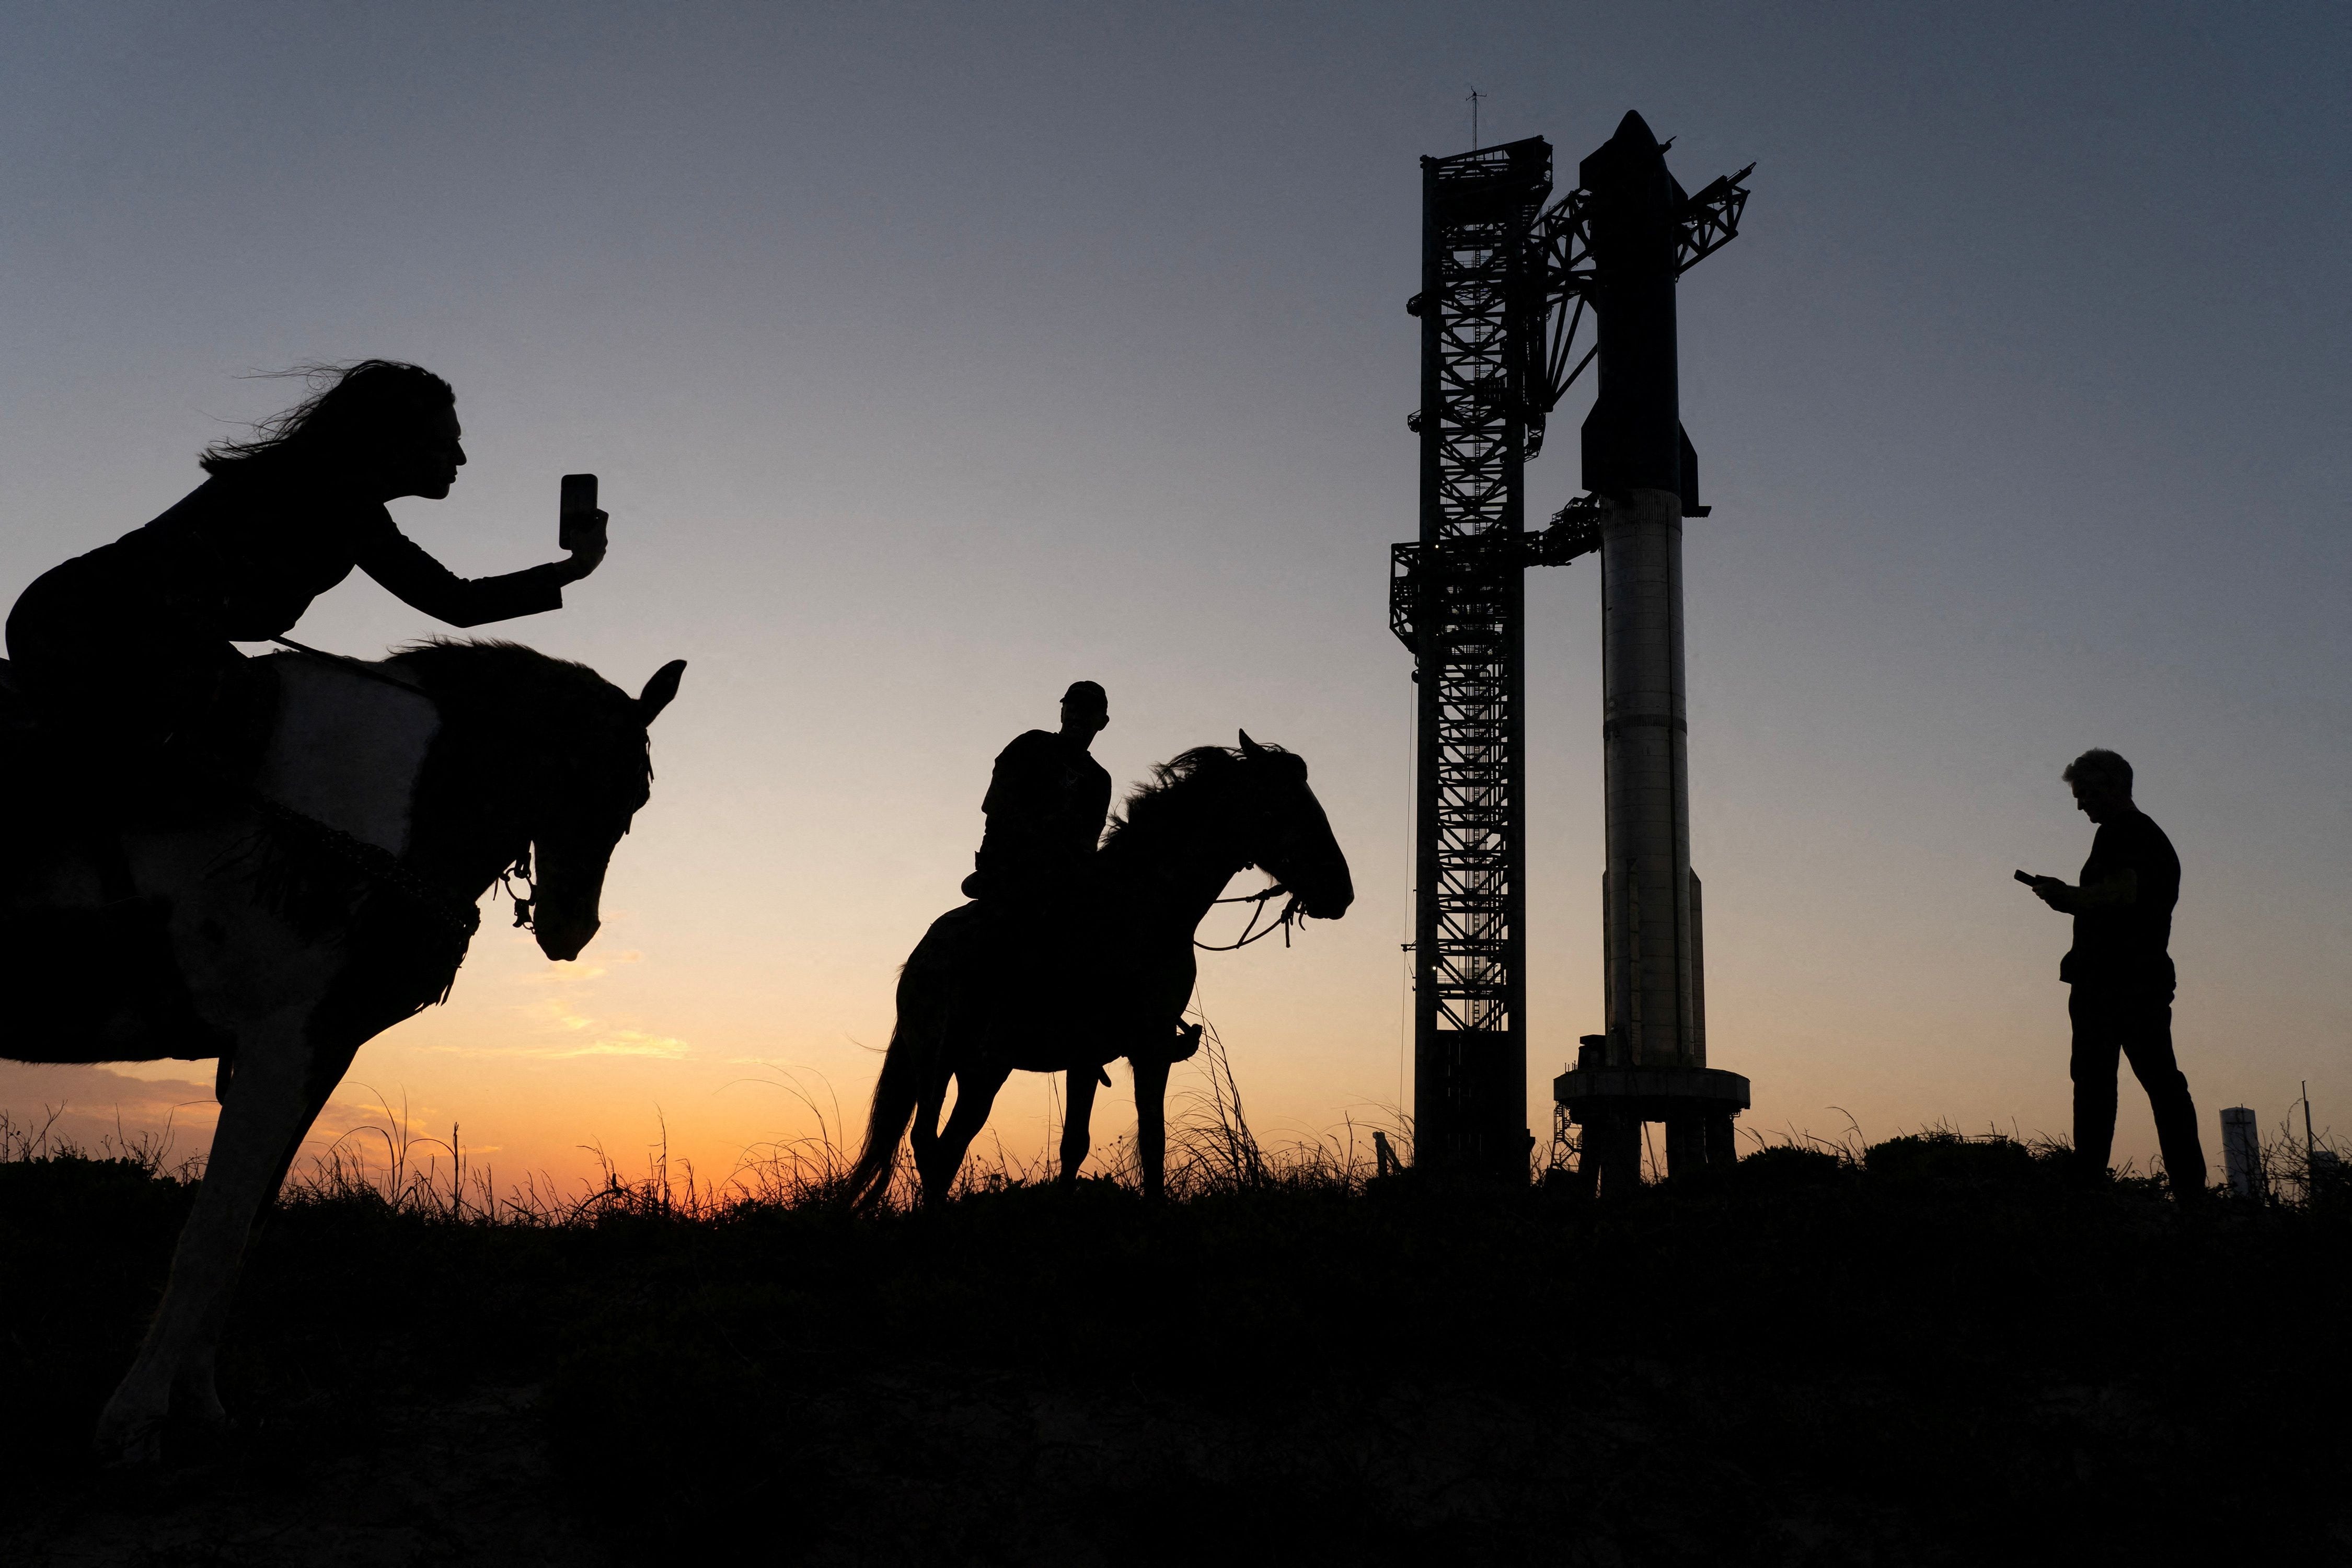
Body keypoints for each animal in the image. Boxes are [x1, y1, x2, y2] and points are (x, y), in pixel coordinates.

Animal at [0, 639, 687, 1457]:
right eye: (624, 792)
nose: (572, 930)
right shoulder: (283, 1040)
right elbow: (212, 1232)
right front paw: (134, 1418)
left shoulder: (321, 1050)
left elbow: (246, 1228)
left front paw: (202, 1406)